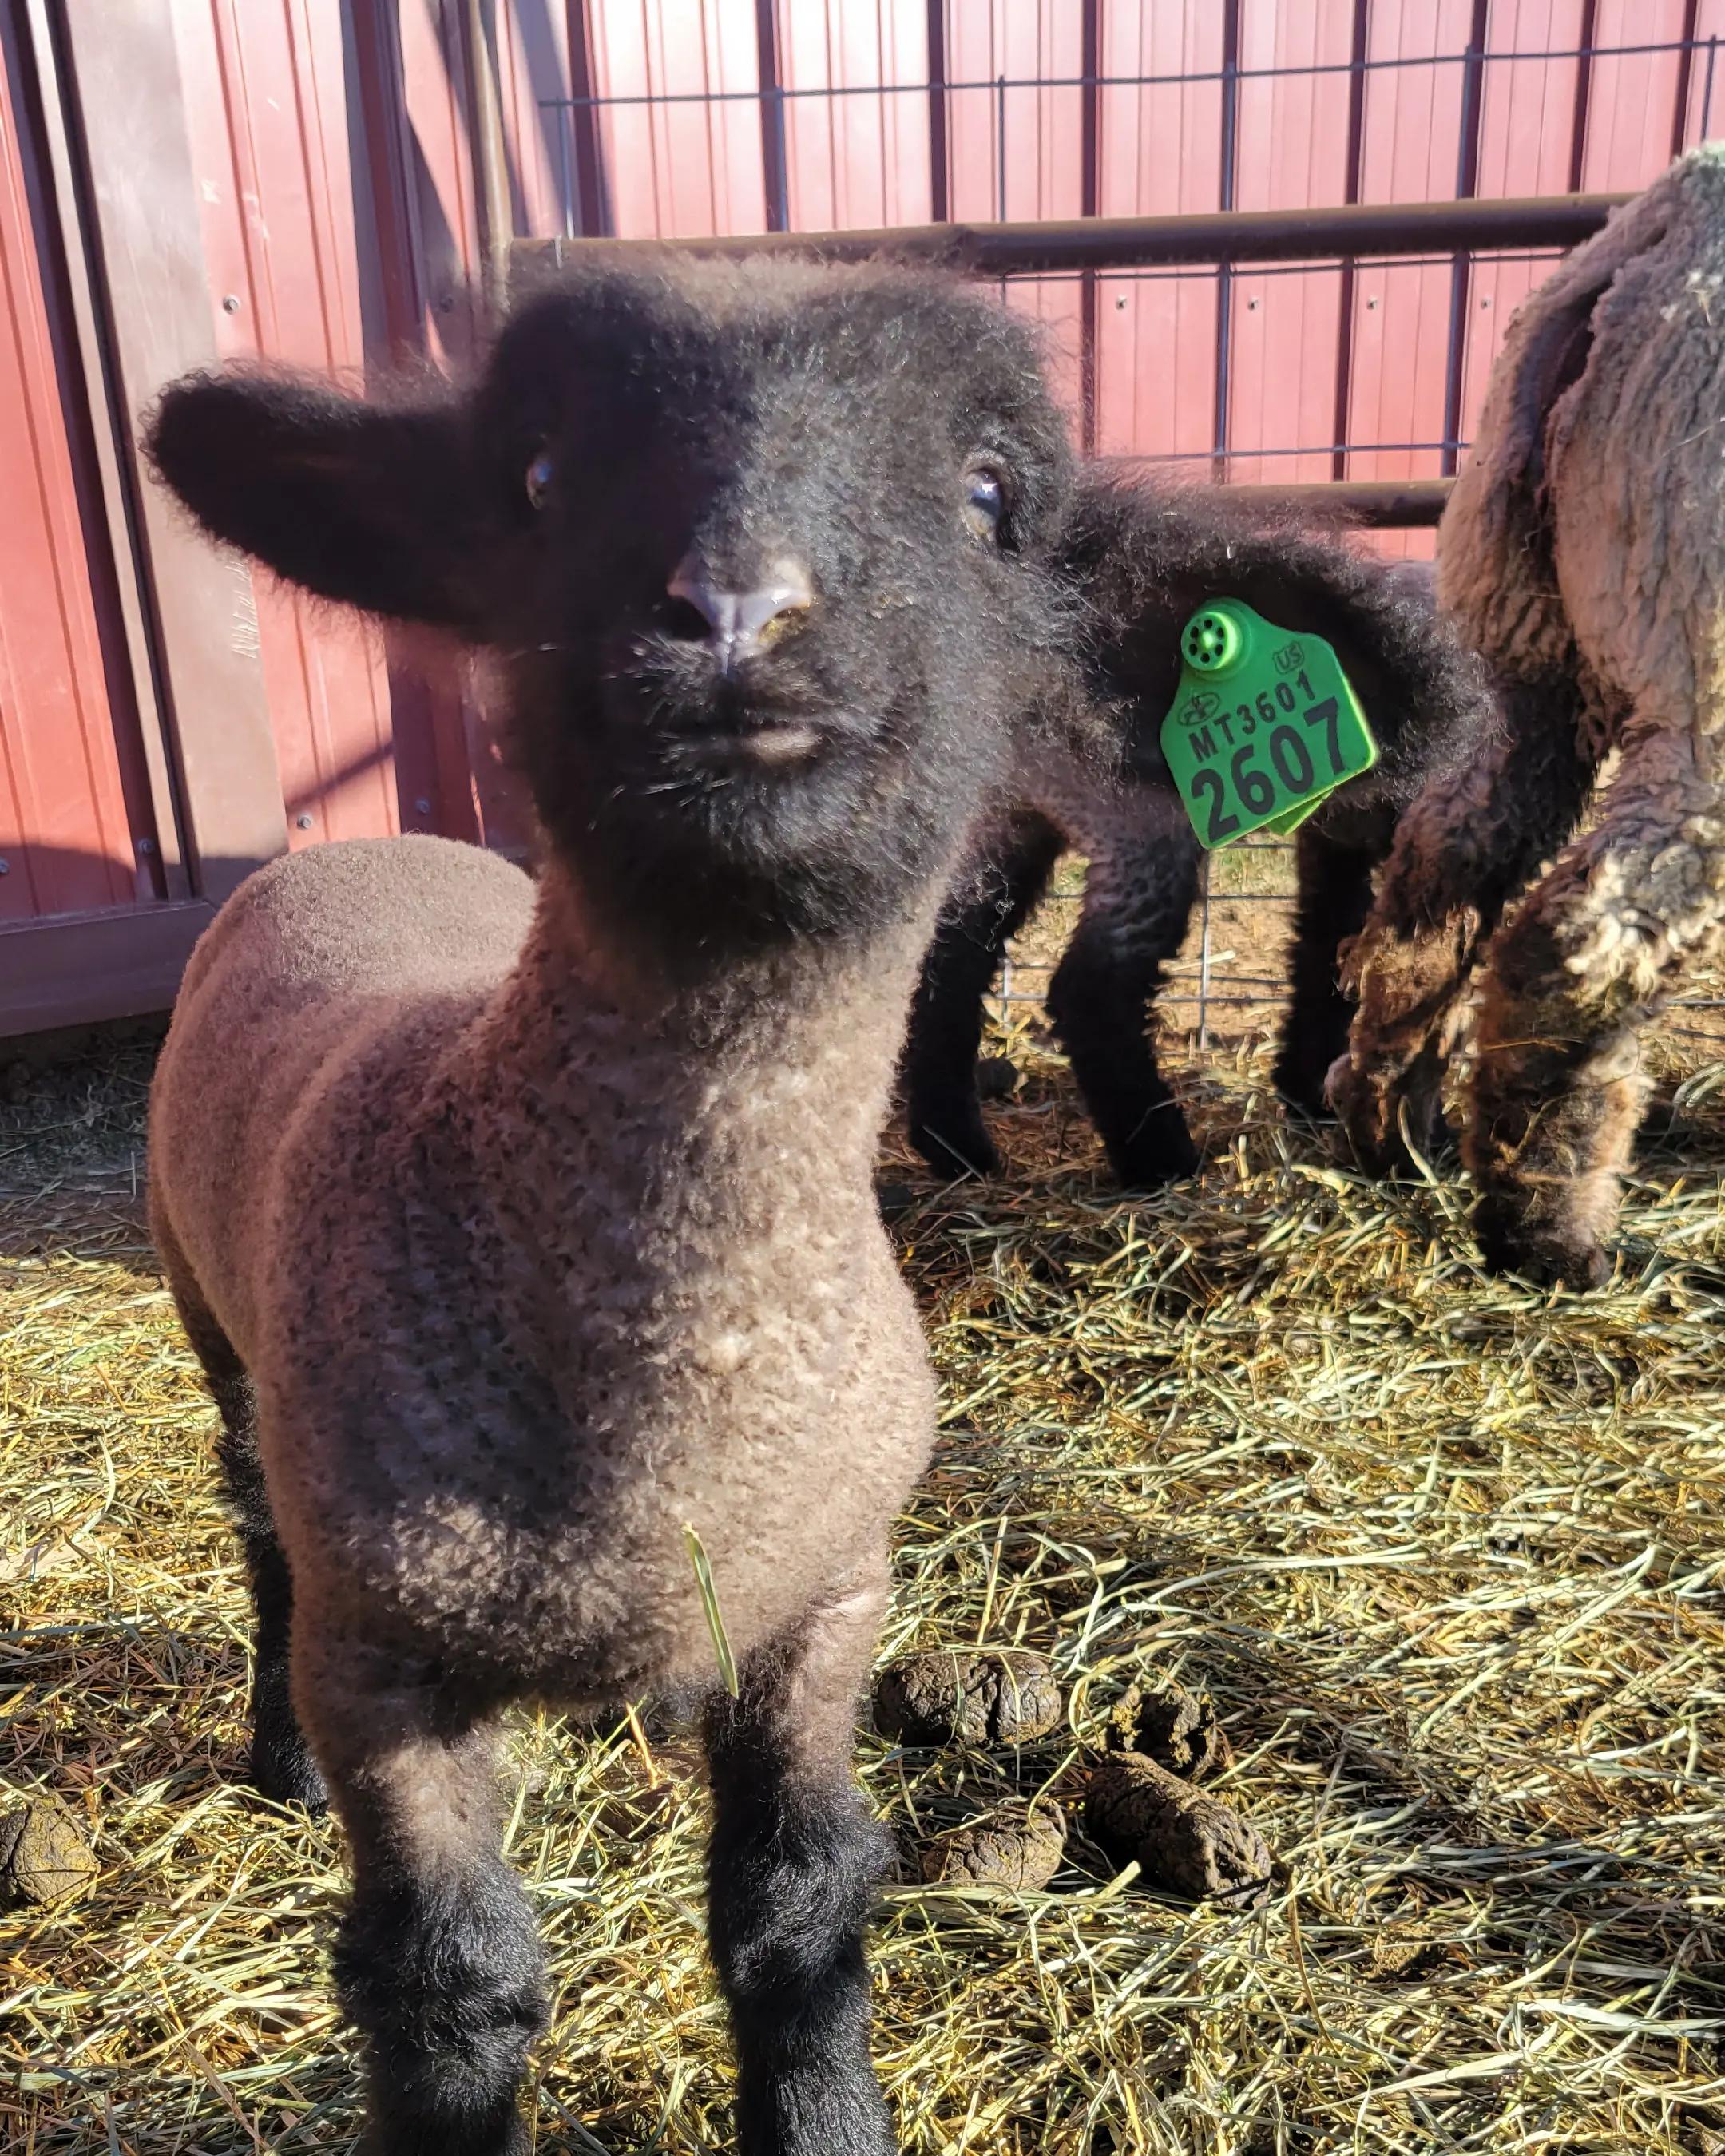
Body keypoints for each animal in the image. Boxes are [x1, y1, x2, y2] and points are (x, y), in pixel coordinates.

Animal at [143, 252, 1079, 2156]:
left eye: (992, 494)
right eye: (540, 476)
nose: (737, 611)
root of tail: (364, 843)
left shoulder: (827, 1599)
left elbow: (801, 1909)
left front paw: (827, 2120)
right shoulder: (387, 1664)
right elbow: (449, 1990)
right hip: (219, 1334)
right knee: (254, 1526)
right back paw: (270, 1759)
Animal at [903, 476, 1495, 1190]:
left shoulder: (1338, 828)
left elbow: (1324, 935)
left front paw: (1305, 1090)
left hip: (1007, 811)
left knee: (952, 954)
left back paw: (959, 1149)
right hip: (1134, 810)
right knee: (1093, 987)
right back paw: (1161, 1162)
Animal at [1326, 145, 1725, 1288]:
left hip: (1520, 630)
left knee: (1450, 852)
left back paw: (1394, 1127)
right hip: (1693, 665)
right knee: (1589, 930)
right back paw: (1549, 1224)